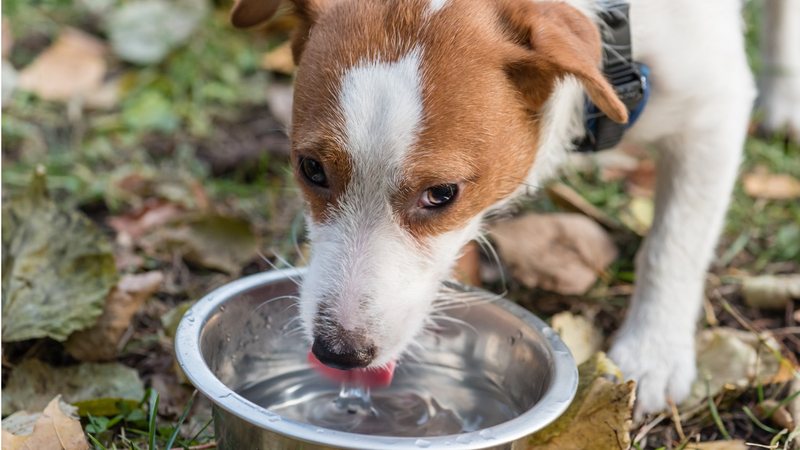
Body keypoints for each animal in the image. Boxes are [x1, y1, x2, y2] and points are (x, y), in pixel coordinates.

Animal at [228, 0, 796, 418]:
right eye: (311, 169)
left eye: (443, 193)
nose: (338, 353)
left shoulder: (713, 111)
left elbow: (673, 245)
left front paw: (653, 351)